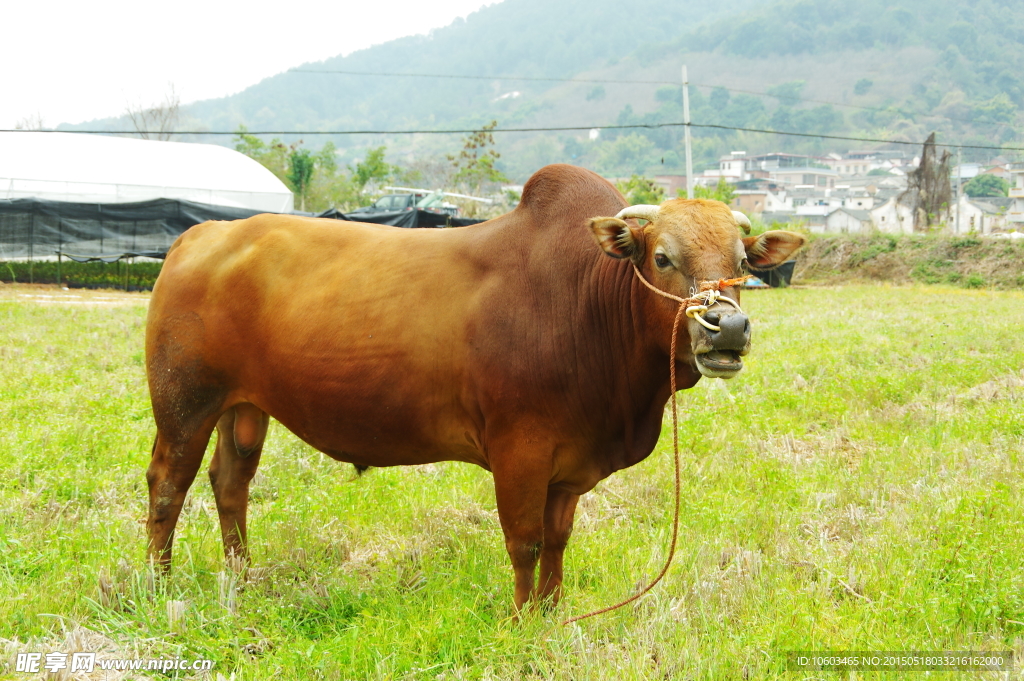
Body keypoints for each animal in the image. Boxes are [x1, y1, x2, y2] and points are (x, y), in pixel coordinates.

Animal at [146, 164, 798, 610]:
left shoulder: (569, 467)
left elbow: (558, 542)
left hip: (243, 408)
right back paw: (157, 584)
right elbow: (525, 542)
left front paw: (552, 612)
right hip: (184, 404)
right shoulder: (519, 452)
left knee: (230, 484)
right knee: (167, 486)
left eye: (744, 261)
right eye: (662, 257)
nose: (728, 327)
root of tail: (201, 234)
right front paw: (521, 620)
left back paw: (242, 578)